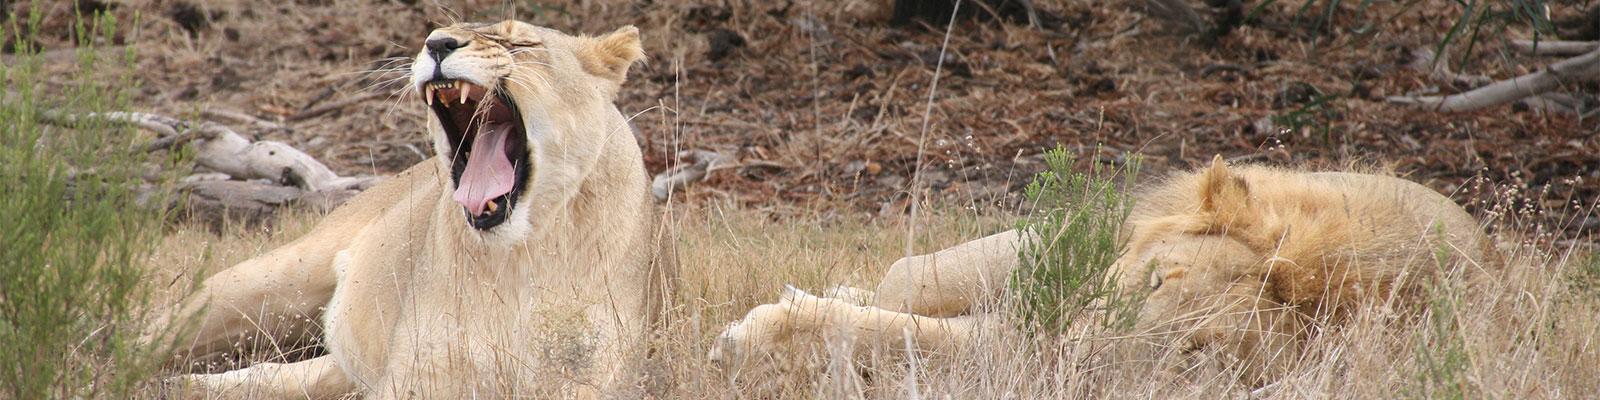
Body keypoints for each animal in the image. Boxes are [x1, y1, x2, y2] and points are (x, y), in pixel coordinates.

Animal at [148, 21, 675, 396]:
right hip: (267, 281)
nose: (437, 43)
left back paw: (187, 386)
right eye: (439, 34)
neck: (518, 255)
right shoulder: (420, 371)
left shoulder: (596, 375)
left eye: (521, 42)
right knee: (154, 329)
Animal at [707, 156, 1491, 384]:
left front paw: (749, 336)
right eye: (1156, 279)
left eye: (1195, 354)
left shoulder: (1020, 341)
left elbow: (892, 328)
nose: (1074, 353)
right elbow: (907, 280)